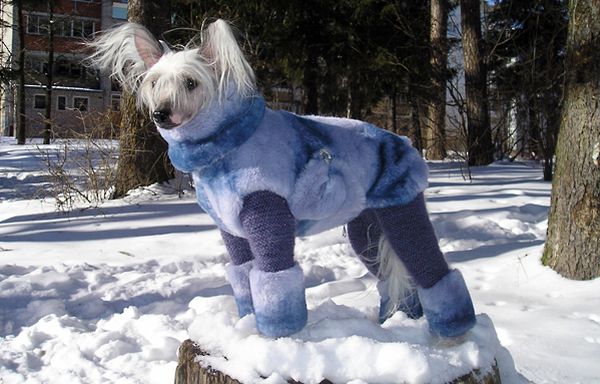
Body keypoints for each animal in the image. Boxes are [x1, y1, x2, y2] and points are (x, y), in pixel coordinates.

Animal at [89, 19, 476, 338]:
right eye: (155, 82)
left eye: (190, 83)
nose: (160, 114)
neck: (228, 145)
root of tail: (405, 143)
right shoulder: (232, 230)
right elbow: (244, 276)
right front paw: (248, 327)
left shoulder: (266, 211)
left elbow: (274, 279)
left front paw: (278, 334)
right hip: (366, 228)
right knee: (393, 276)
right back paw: (397, 323)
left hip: (401, 207)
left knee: (429, 267)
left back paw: (453, 333)